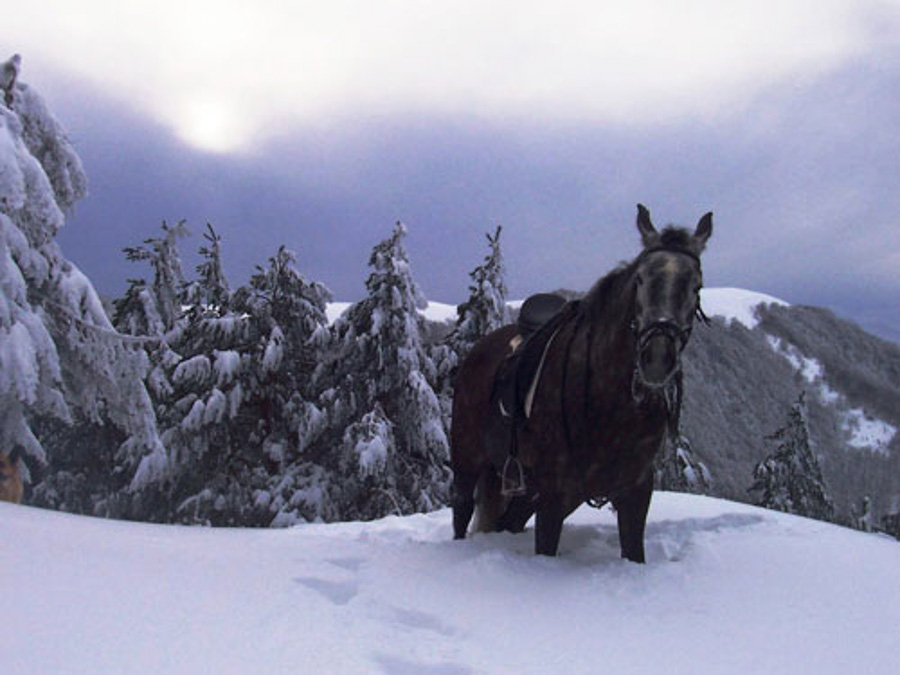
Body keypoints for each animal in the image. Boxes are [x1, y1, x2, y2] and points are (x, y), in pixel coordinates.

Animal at [450, 204, 712, 562]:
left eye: (696, 286)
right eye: (640, 279)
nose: (657, 357)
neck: (609, 400)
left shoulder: (635, 490)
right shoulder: (554, 491)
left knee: (508, 521)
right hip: (468, 459)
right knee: (461, 512)